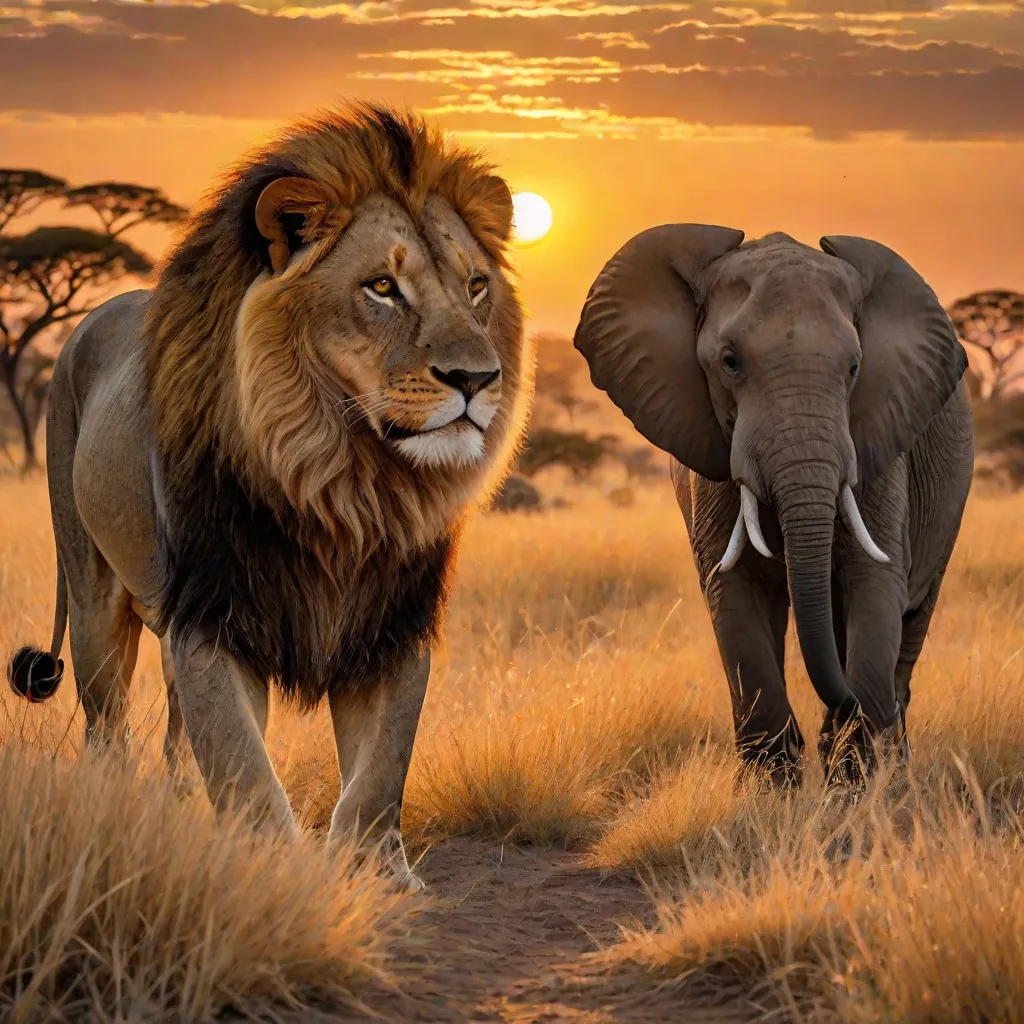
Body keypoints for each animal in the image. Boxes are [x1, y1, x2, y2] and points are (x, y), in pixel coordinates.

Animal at [8, 104, 531, 888]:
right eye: (382, 287)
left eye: (474, 286)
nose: (477, 378)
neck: (346, 482)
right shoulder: (214, 615)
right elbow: (243, 768)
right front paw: (270, 874)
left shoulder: (396, 622)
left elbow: (380, 771)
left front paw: (378, 873)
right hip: (95, 596)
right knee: (106, 728)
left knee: (172, 736)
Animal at [574, 226, 973, 786]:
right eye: (730, 361)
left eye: (855, 367)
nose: (844, 712)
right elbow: (734, 590)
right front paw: (771, 791)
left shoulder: (877, 442)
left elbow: (876, 582)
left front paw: (854, 790)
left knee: (911, 620)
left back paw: (889, 761)